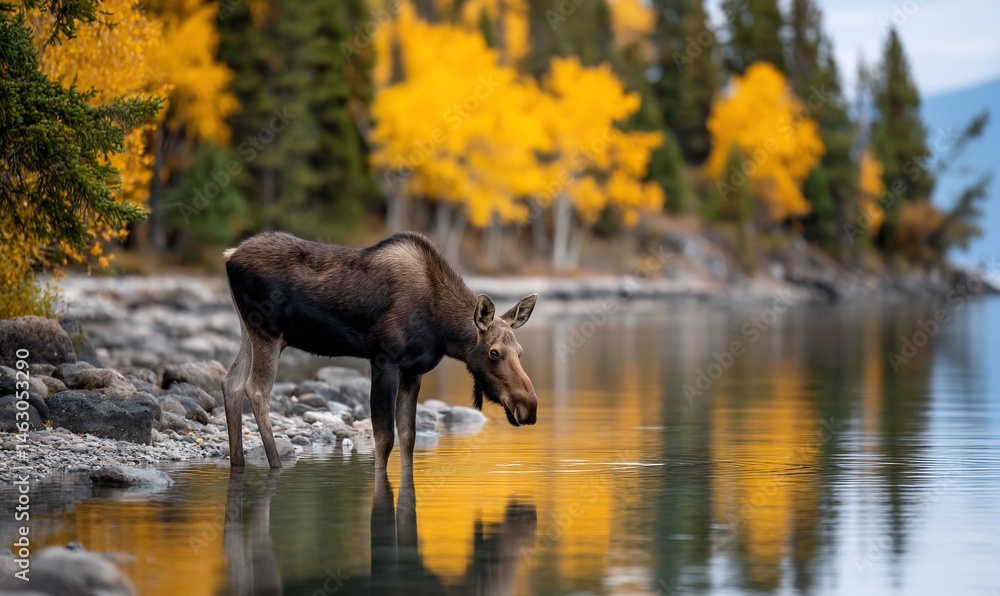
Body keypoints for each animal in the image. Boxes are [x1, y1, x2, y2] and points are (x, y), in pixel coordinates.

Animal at [221, 231, 539, 469]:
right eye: (494, 352)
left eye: (521, 351)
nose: (529, 406)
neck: (442, 330)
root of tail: (229, 256)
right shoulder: (384, 361)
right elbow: (384, 440)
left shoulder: (414, 372)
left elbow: (408, 438)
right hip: (268, 332)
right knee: (256, 389)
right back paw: (275, 464)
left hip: (250, 331)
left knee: (231, 382)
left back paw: (238, 462)